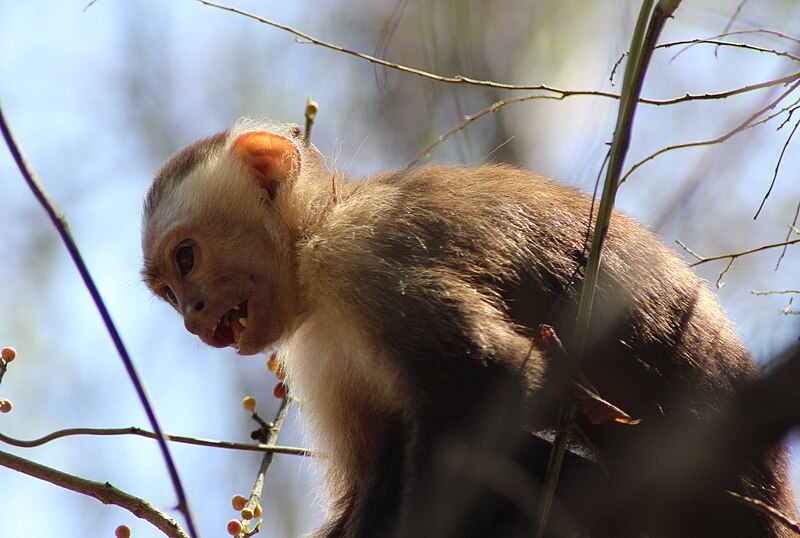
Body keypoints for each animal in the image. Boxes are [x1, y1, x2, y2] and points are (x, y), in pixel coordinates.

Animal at [141, 121, 796, 536]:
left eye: (187, 260)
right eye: (168, 293)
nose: (192, 315)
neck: (315, 238)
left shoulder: (361, 255)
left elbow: (491, 378)